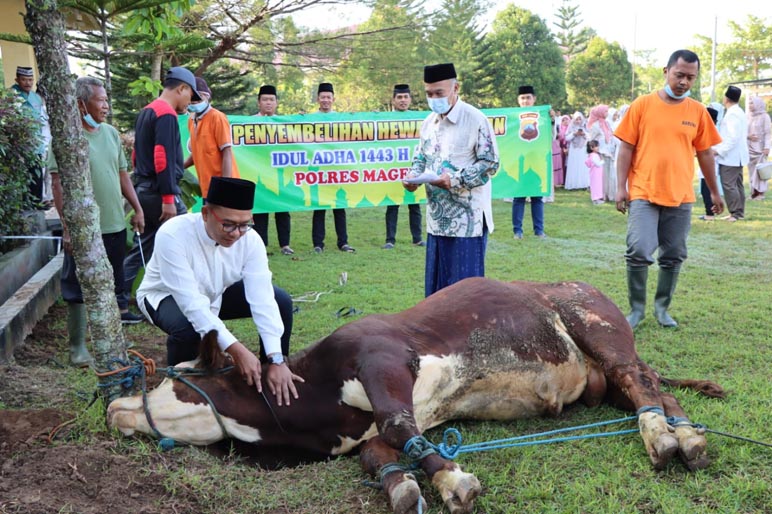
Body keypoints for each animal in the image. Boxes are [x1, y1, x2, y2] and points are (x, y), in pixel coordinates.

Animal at [108, 278, 724, 510]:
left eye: (174, 378)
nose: (114, 405)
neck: (315, 403)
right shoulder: (385, 424)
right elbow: (382, 451)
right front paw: (404, 484)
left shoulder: (382, 361)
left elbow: (399, 429)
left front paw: (452, 478)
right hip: (604, 380)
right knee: (652, 387)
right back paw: (686, 436)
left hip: (597, 327)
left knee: (640, 379)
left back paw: (662, 439)